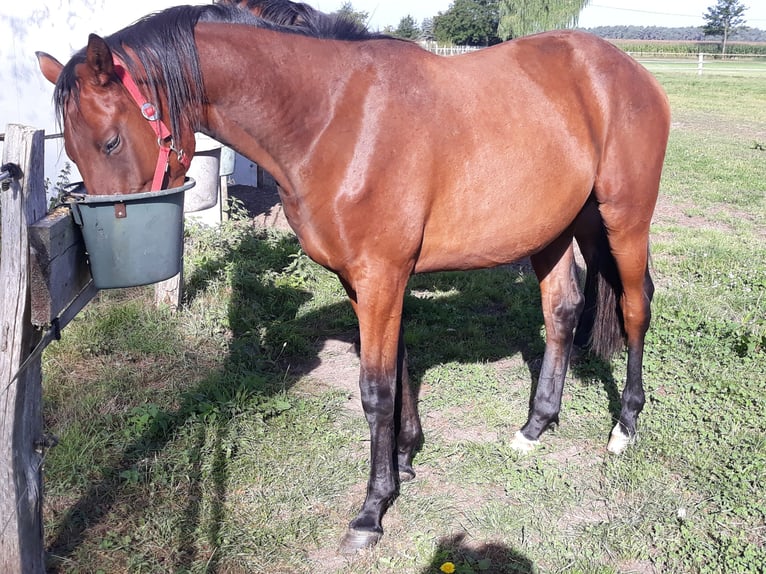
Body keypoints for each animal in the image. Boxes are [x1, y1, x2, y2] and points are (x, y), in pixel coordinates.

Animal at [37, 3, 670, 552]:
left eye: (110, 141)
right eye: (69, 150)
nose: (103, 253)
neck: (334, 118)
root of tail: (626, 69)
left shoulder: (382, 275)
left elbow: (375, 390)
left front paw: (372, 509)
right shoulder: (364, 278)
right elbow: (401, 366)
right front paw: (406, 458)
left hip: (624, 218)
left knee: (636, 307)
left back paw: (626, 426)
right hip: (555, 228)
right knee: (561, 310)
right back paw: (536, 426)